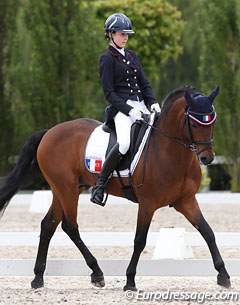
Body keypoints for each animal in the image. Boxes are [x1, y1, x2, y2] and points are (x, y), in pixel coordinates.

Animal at [0, 86, 231, 290]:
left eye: (212, 122)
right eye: (195, 123)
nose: (207, 158)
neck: (169, 151)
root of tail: (49, 132)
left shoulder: (186, 201)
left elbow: (208, 232)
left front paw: (223, 275)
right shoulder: (147, 203)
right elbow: (139, 240)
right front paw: (130, 281)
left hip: (64, 189)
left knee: (49, 225)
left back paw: (38, 278)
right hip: (66, 189)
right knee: (70, 226)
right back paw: (96, 273)